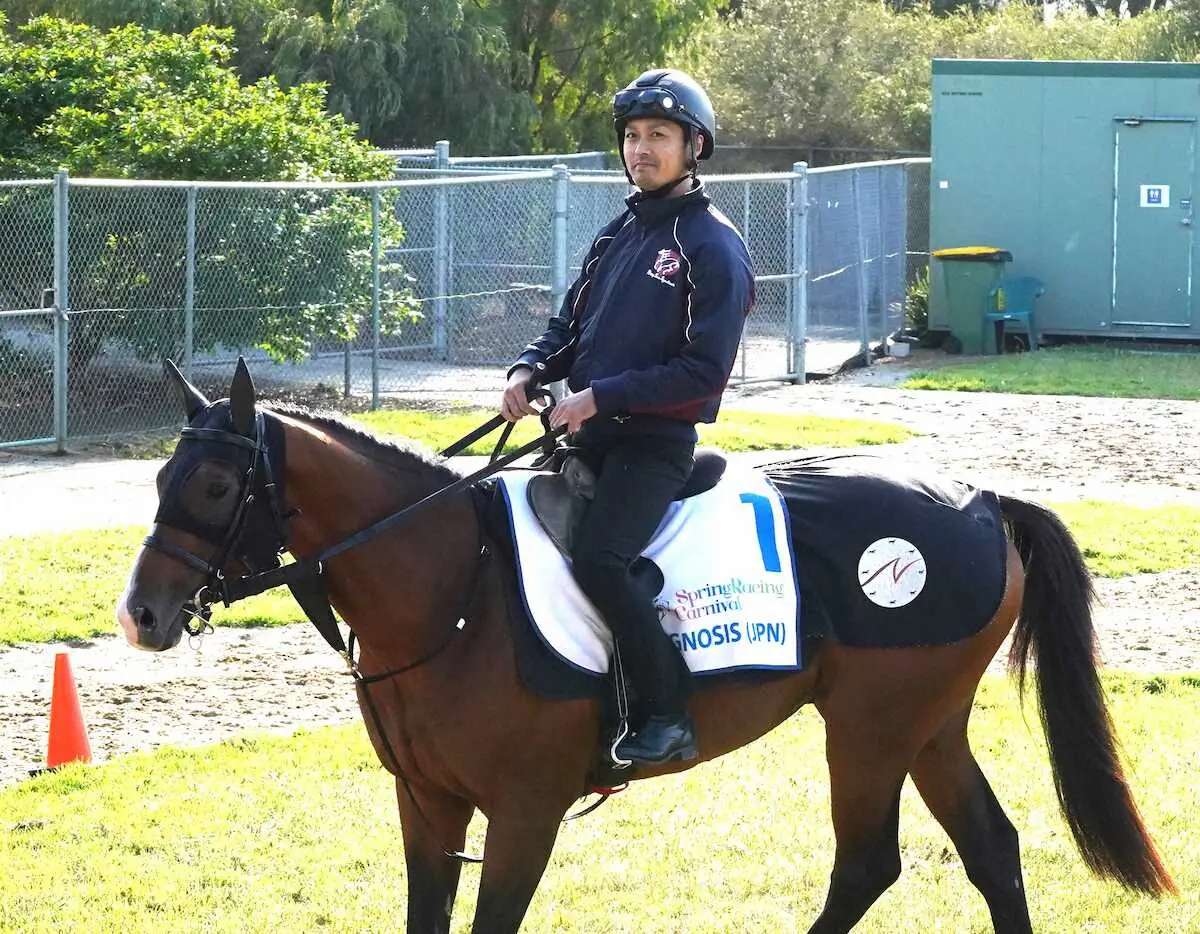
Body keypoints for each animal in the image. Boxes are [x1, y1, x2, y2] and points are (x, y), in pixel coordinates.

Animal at [114, 357, 1171, 931]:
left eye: (216, 487)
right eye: (161, 476)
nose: (140, 617)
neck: (455, 589)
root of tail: (981, 500)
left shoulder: (525, 814)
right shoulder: (427, 806)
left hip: (870, 732)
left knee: (869, 865)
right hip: (928, 727)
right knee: (991, 848)